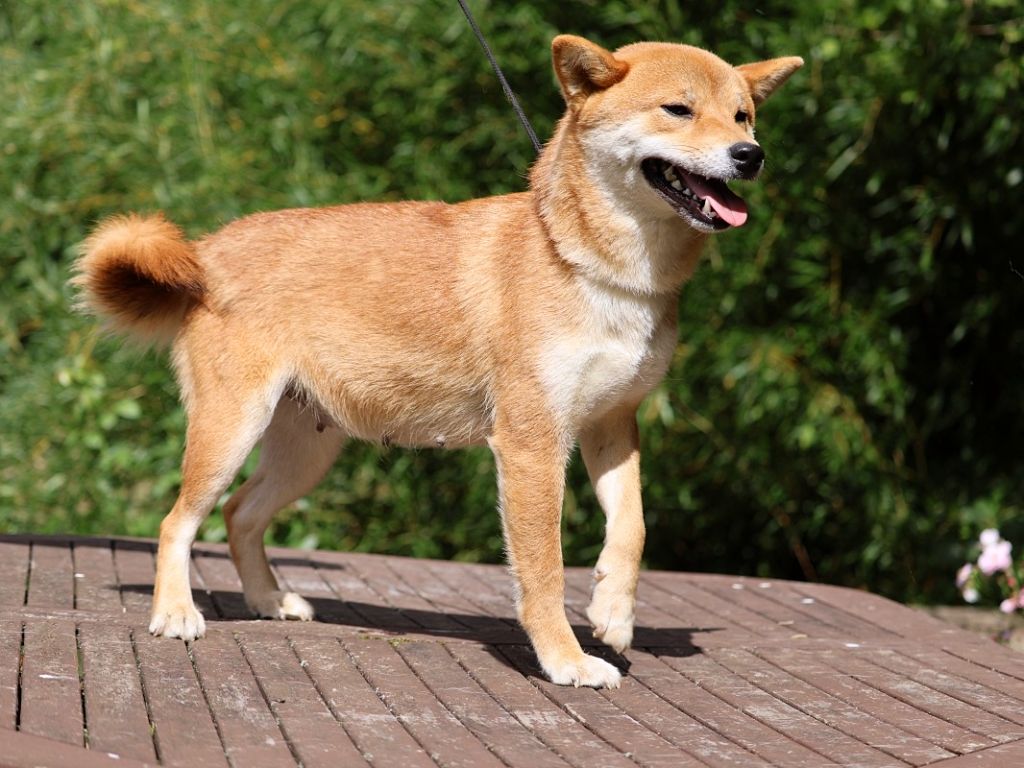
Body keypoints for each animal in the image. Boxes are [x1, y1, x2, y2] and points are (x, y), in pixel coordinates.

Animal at [75, 33, 802, 688]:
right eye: (678, 110)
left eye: (743, 115)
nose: (751, 156)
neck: (594, 267)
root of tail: (205, 253)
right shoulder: (532, 445)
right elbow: (542, 570)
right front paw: (566, 661)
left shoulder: (610, 425)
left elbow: (633, 529)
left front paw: (613, 614)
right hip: (232, 429)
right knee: (179, 521)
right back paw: (176, 613)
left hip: (306, 449)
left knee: (240, 515)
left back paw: (269, 600)